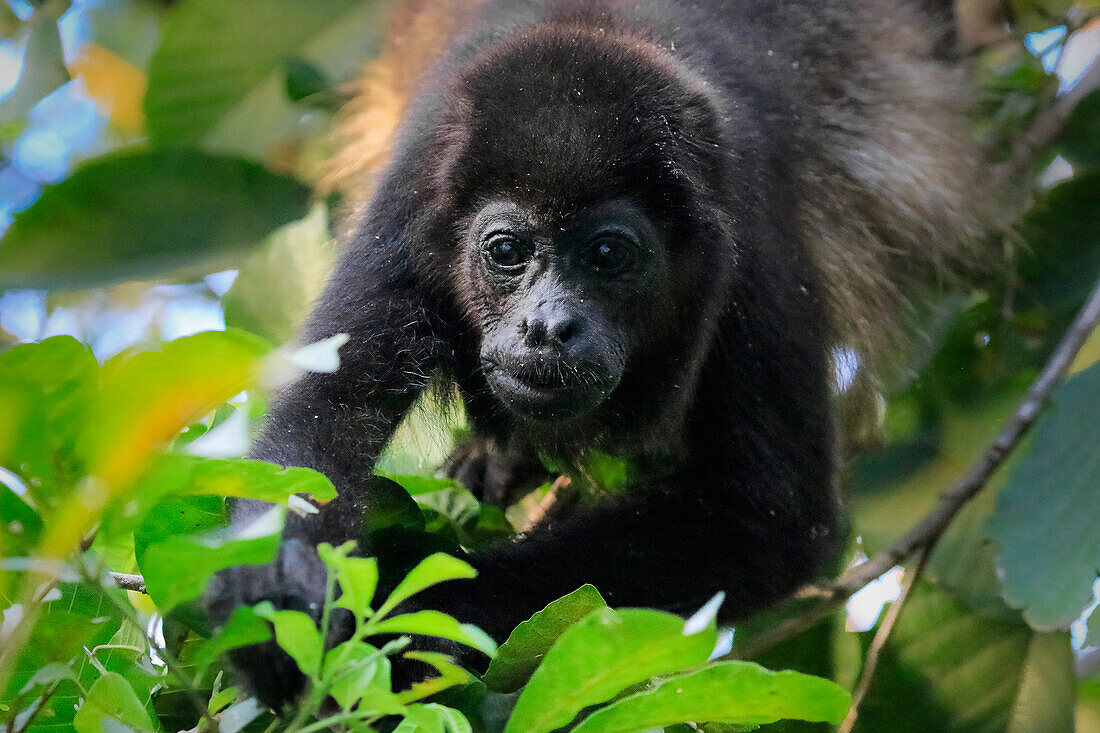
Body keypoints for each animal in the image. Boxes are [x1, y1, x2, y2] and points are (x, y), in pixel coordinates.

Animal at [206, 0, 990, 704]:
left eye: (609, 254)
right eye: (506, 251)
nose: (549, 326)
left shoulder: (753, 238)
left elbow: (771, 514)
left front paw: (411, 598)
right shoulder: (407, 205)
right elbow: (325, 413)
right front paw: (274, 592)